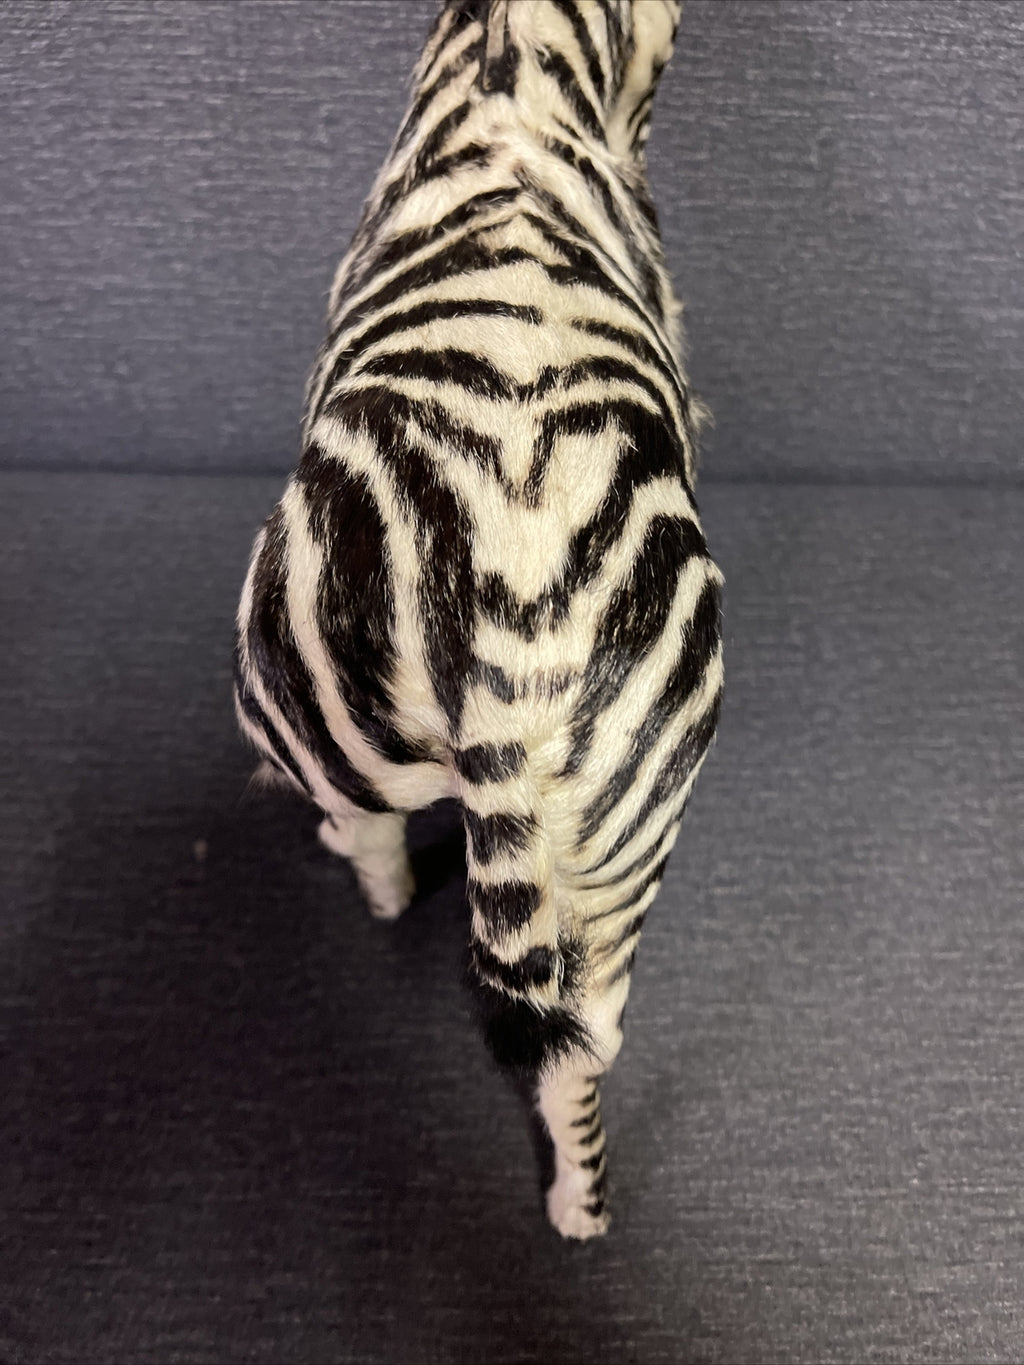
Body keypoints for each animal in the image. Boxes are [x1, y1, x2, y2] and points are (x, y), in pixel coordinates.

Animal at [234, 0, 723, 1240]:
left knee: (365, 837)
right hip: (616, 863)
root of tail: (509, 631)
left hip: (292, 691)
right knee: (580, 1056)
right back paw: (579, 1214)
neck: (511, 55)